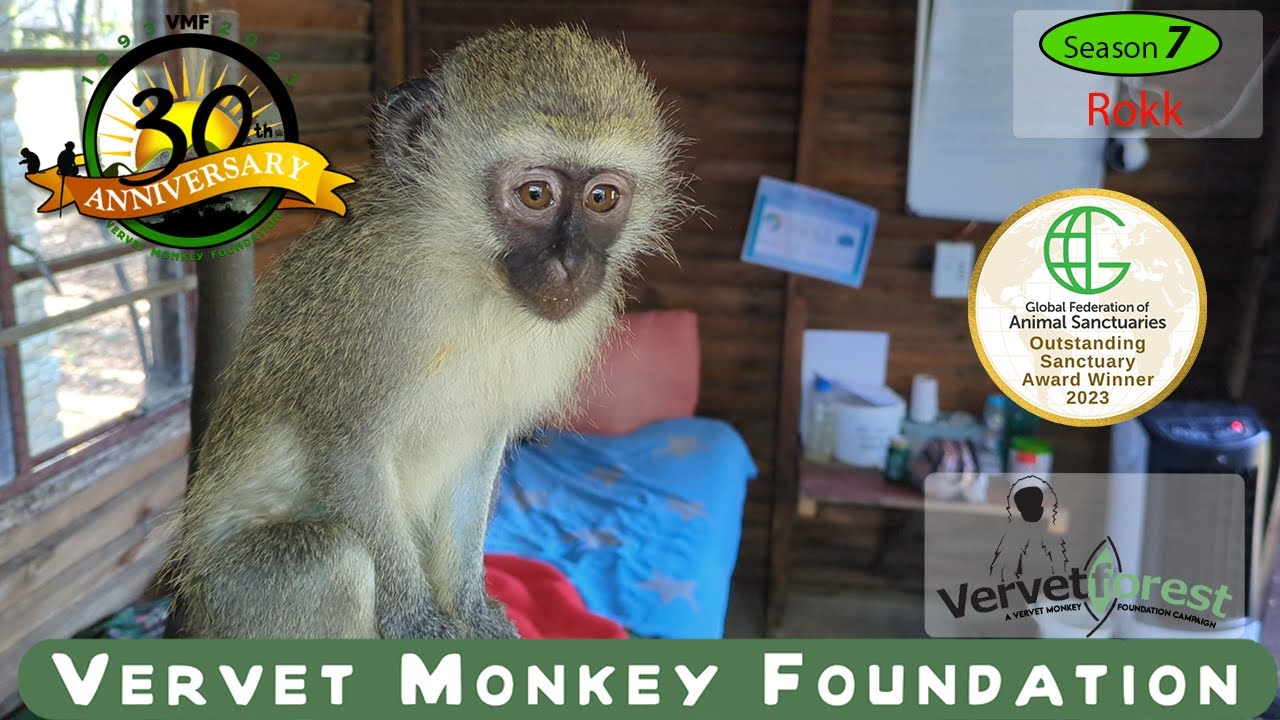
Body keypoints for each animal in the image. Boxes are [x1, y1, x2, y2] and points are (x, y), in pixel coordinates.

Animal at [162, 25, 688, 639]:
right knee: (330, 562)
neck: (470, 277)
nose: (573, 263)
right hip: (230, 601)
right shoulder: (369, 306)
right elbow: (348, 448)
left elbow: (480, 449)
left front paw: (469, 612)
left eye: (601, 198)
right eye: (536, 195)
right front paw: (416, 622)